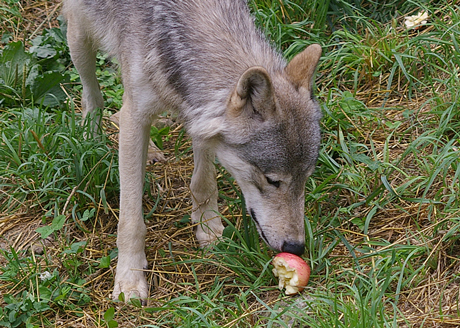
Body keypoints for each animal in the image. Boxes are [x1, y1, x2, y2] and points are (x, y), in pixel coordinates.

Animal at [63, 0, 322, 304]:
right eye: (273, 180)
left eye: (306, 178)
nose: (296, 248)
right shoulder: (136, 115)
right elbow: (130, 219)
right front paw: (129, 279)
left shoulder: (197, 115)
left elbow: (204, 181)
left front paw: (208, 228)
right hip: (79, 36)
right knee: (91, 95)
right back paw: (91, 138)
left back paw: (150, 150)